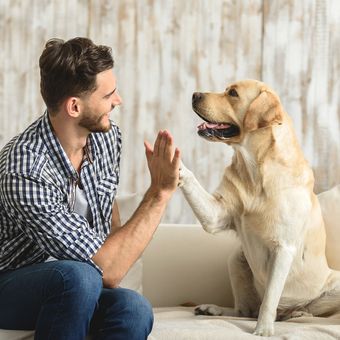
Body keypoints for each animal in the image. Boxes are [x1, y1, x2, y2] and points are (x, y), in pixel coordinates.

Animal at [178, 80, 340, 338]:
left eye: (233, 93)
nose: (195, 94)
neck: (254, 170)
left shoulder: (283, 248)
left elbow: (269, 299)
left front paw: (263, 329)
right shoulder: (216, 215)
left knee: (295, 309)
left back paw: (297, 312)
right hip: (236, 259)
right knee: (244, 311)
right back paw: (213, 309)